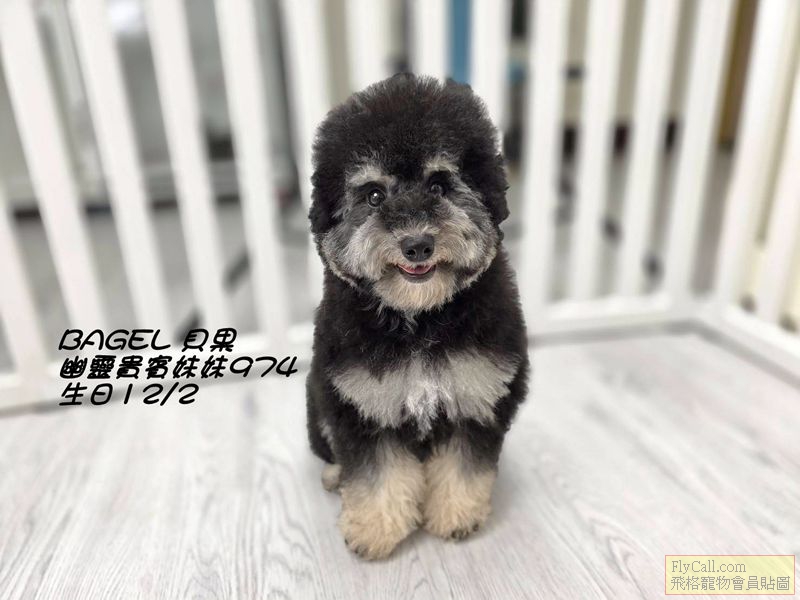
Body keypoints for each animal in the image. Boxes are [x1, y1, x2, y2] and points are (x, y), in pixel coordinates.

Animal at [306, 74, 529, 560]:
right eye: (373, 195)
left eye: (439, 186)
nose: (417, 245)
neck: (420, 318)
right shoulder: (361, 405)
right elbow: (374, 475)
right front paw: (373, 530)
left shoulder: (478, 397)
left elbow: (464, 466)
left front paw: (457, 516)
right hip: (318, 407)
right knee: (330, 449)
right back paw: (333, 476)